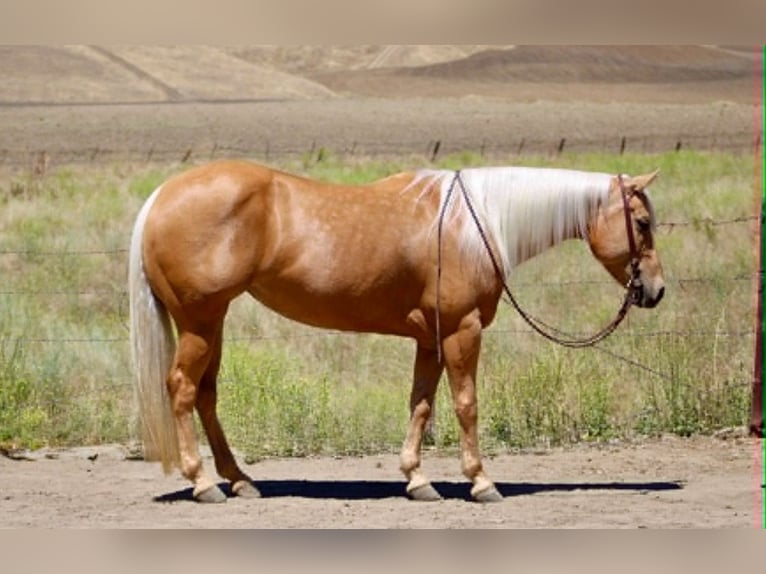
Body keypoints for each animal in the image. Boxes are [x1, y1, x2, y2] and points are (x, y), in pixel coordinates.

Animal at [128, 160, 665, 503]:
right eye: (641, 221)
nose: (656, 290)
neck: (474, 225)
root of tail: (161, 196)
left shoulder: (430, 338)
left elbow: (421, 404)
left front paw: (417, 479)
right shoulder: (462, 331)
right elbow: (466, 404)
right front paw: (481, 482)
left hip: (211, 322)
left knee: (206, 394)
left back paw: (239, 480)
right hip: (199, 322)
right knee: (182, 389)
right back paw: (203, 484)